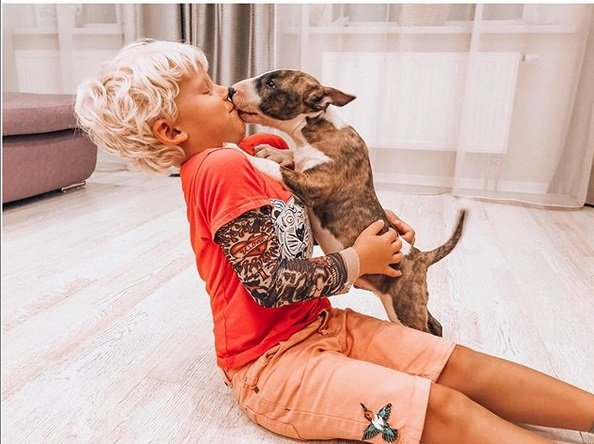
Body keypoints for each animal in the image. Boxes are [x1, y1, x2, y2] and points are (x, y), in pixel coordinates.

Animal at [227, 69, 462, 336]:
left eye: (271, 83)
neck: (316, 128)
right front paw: (271, 150)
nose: (231, 90)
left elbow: (275, 168)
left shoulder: (314, 184)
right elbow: (288, 157)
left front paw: (237, 150)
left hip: (404, 308)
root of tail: (421, 257)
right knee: (435, 324)